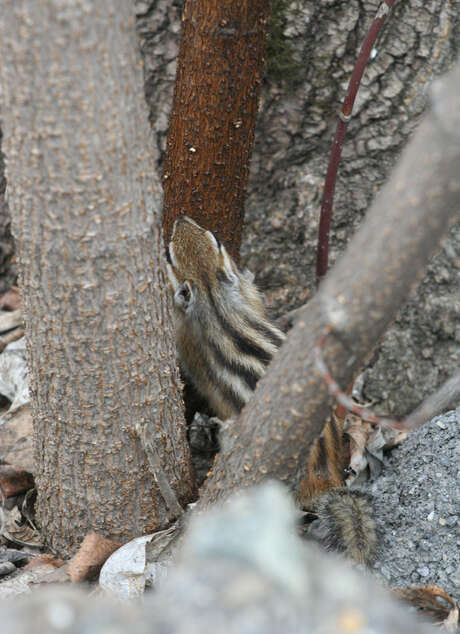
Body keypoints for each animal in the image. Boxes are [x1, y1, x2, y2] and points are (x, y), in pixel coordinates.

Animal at [167, 216, 378, 566]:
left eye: (169, 258)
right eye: (215, 239)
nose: (180, 218)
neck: (212, 294)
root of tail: (325, 477)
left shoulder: (189, 345)